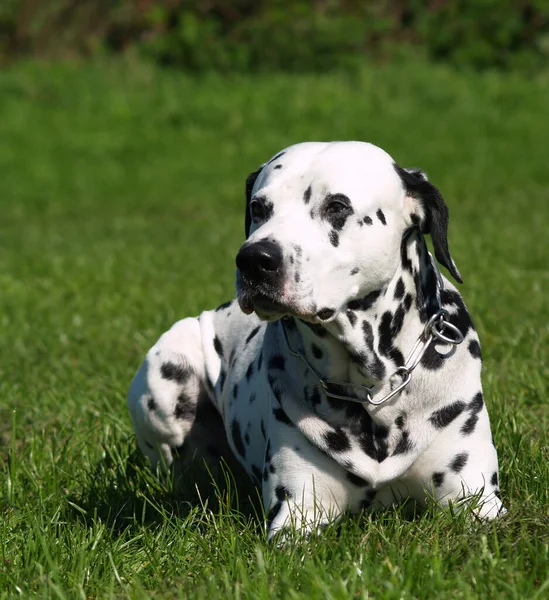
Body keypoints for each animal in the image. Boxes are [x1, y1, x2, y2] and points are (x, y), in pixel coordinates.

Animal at [128, 142, 506, 540]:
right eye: (258, 208)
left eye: (336, 206)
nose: (254, 259)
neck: (371, 387)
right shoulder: (297, 514)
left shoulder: (476, 498)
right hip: (166, 379)